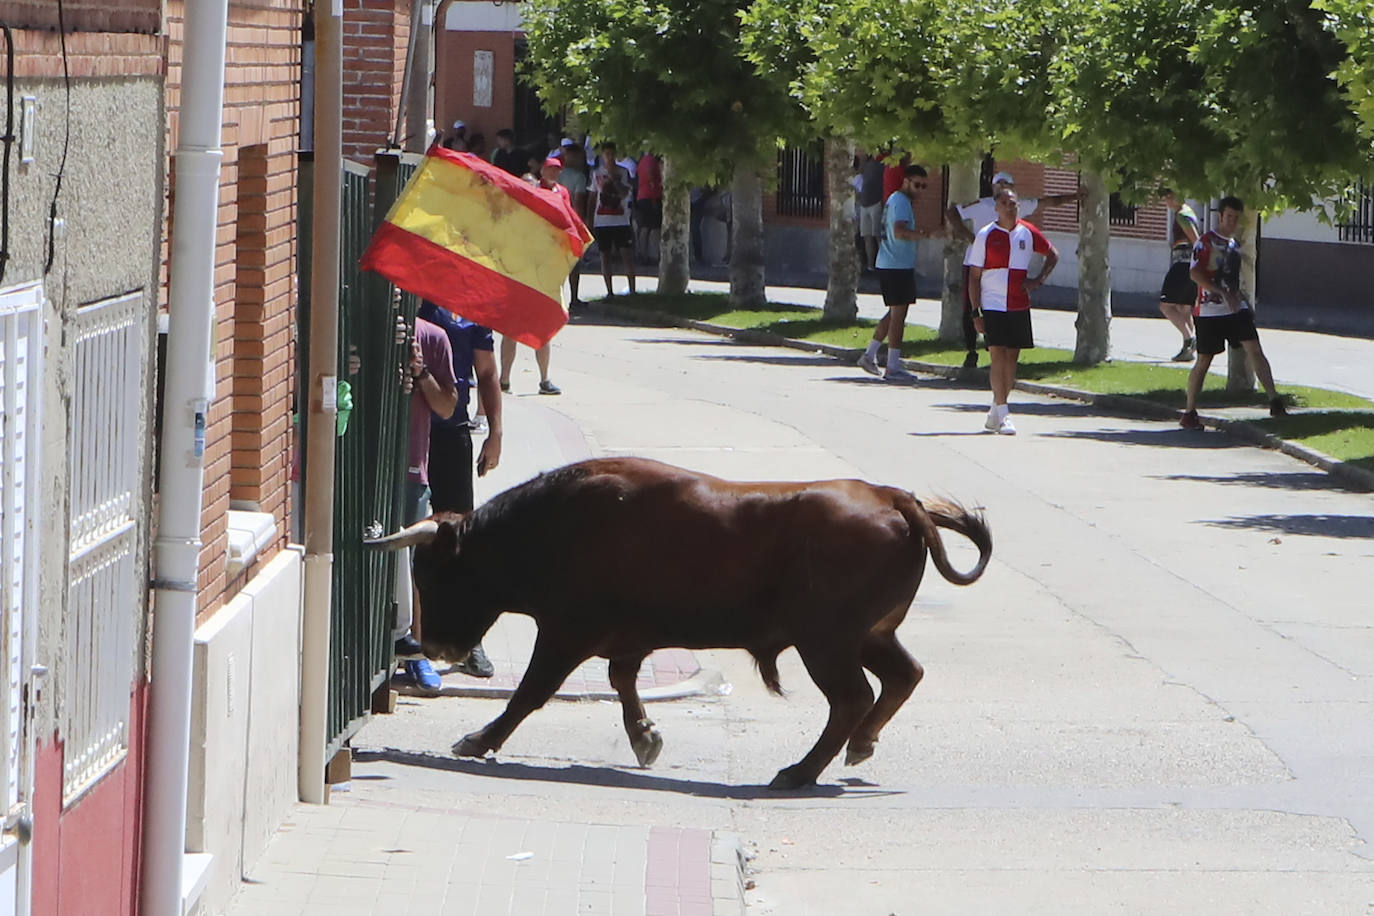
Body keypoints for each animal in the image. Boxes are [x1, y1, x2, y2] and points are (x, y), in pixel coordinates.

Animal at [365, 458, 989, 791]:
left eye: (435, 572)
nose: (430, 643)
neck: (552, 525)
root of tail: (894, 497)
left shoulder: (565, 632)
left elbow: (531, 692)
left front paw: (477, 740)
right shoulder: (624, 639)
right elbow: (621, 682)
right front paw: (646, 737)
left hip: (828, 642)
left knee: (853, 698)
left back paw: (799, 771)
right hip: (869, 636)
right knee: (902, 677)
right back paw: (858, 747)